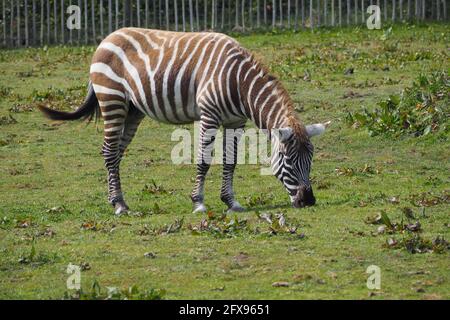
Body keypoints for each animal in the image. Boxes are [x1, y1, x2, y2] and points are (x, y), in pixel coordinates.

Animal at [40, 28, 328, 215]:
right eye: (288, 159)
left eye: (311, 159)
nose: (309, 200)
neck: (240, 83)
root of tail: (108, 37)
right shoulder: (209, 114)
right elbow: (203, 159)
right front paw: (198, 202)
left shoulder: (235, 121)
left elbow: (231, 161)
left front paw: (231, 202)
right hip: (112, 99)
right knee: (110, 151)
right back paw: (119, 206)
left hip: (133, 110)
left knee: (115, 153)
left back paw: (117, 200)